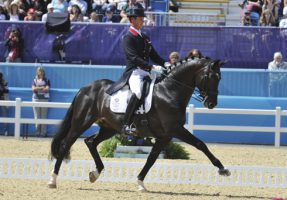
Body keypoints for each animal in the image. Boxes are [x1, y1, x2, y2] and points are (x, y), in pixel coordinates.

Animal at [47, 57, 232, 191]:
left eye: (220, 78)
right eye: (211, 77)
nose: (211, 103)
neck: (170, 92)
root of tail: (85, 88)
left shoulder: (165, 136)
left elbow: (152, 158)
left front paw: (140, 182)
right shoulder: (175, 129)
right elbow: (200, 144)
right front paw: (223, 169)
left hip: (109, 128)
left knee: (90, 141)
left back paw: (95, 173)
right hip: (81, 123)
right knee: (65, 145)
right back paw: (52, 180)